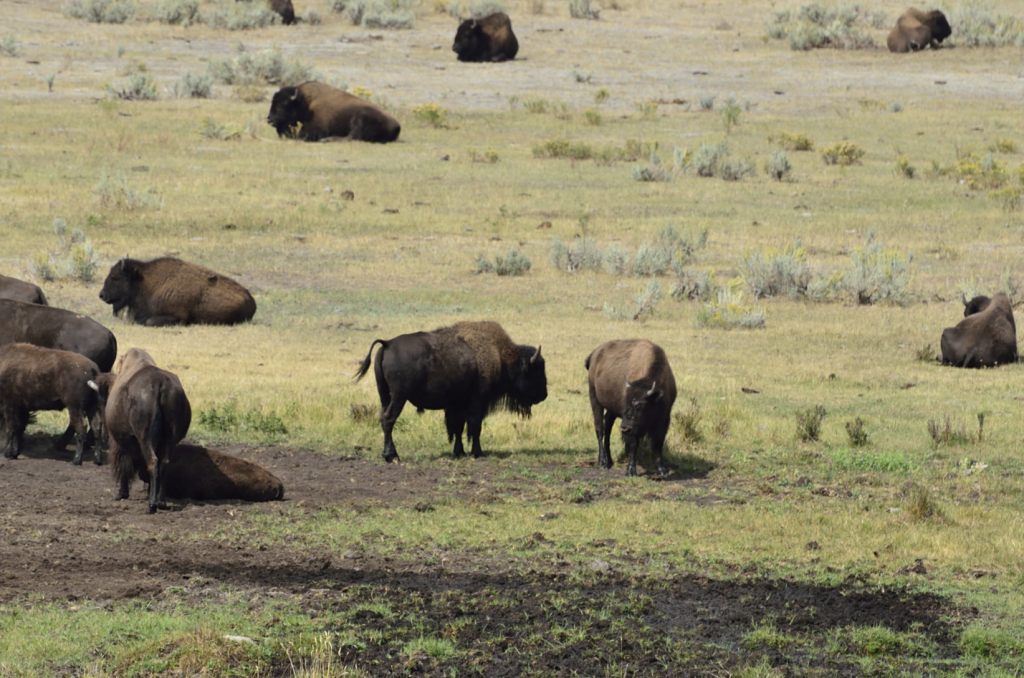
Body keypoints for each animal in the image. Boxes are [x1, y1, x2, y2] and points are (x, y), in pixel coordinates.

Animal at [91, 348, 191, 513]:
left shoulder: (119, 442)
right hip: (170, 439)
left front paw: (121, 493)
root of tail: (159, 383)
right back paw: (161, 502)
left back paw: (152, 505)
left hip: (144, 438)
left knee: (152, 462)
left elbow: (124, 466)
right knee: (163, 463)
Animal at [99, 257, 256, 326]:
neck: (144, 282)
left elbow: (149, 321)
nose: (102, 294)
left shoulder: (176, 316)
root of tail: (251, 301)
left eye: (115, 277)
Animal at [267, 82, 401, 143]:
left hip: (360, 118)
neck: (305, 102)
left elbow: (302, 135)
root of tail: (397, 126)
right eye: (273, 101)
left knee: (351, 137)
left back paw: (327, 139)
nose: (270, 119)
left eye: (284, 104)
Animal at [355, 320, 547, 462]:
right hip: (399, 397)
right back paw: (392, 456)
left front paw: (459, 452)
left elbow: (458, 427)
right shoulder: (477, 402)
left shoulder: (457, 405)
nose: (544, 395)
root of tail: (387, 344)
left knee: (384, 418)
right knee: (389, 419)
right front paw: (478, 452)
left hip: (385, 396)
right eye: (535, 370)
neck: (501, 357)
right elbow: (474, 426)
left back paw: (388, 454)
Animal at [585, 339, 677, 477]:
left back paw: (609, 461)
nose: (625, 428)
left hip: (611, 411)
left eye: (640, 405)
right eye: (625, 403)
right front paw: (631, 471)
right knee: (600, 430)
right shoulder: (633, 429)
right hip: (594, 400)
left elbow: (658, 444)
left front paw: (662, 470)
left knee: (607, 428)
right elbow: (633, 444)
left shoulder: (664, 418)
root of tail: (594, 354)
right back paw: (602, 462)